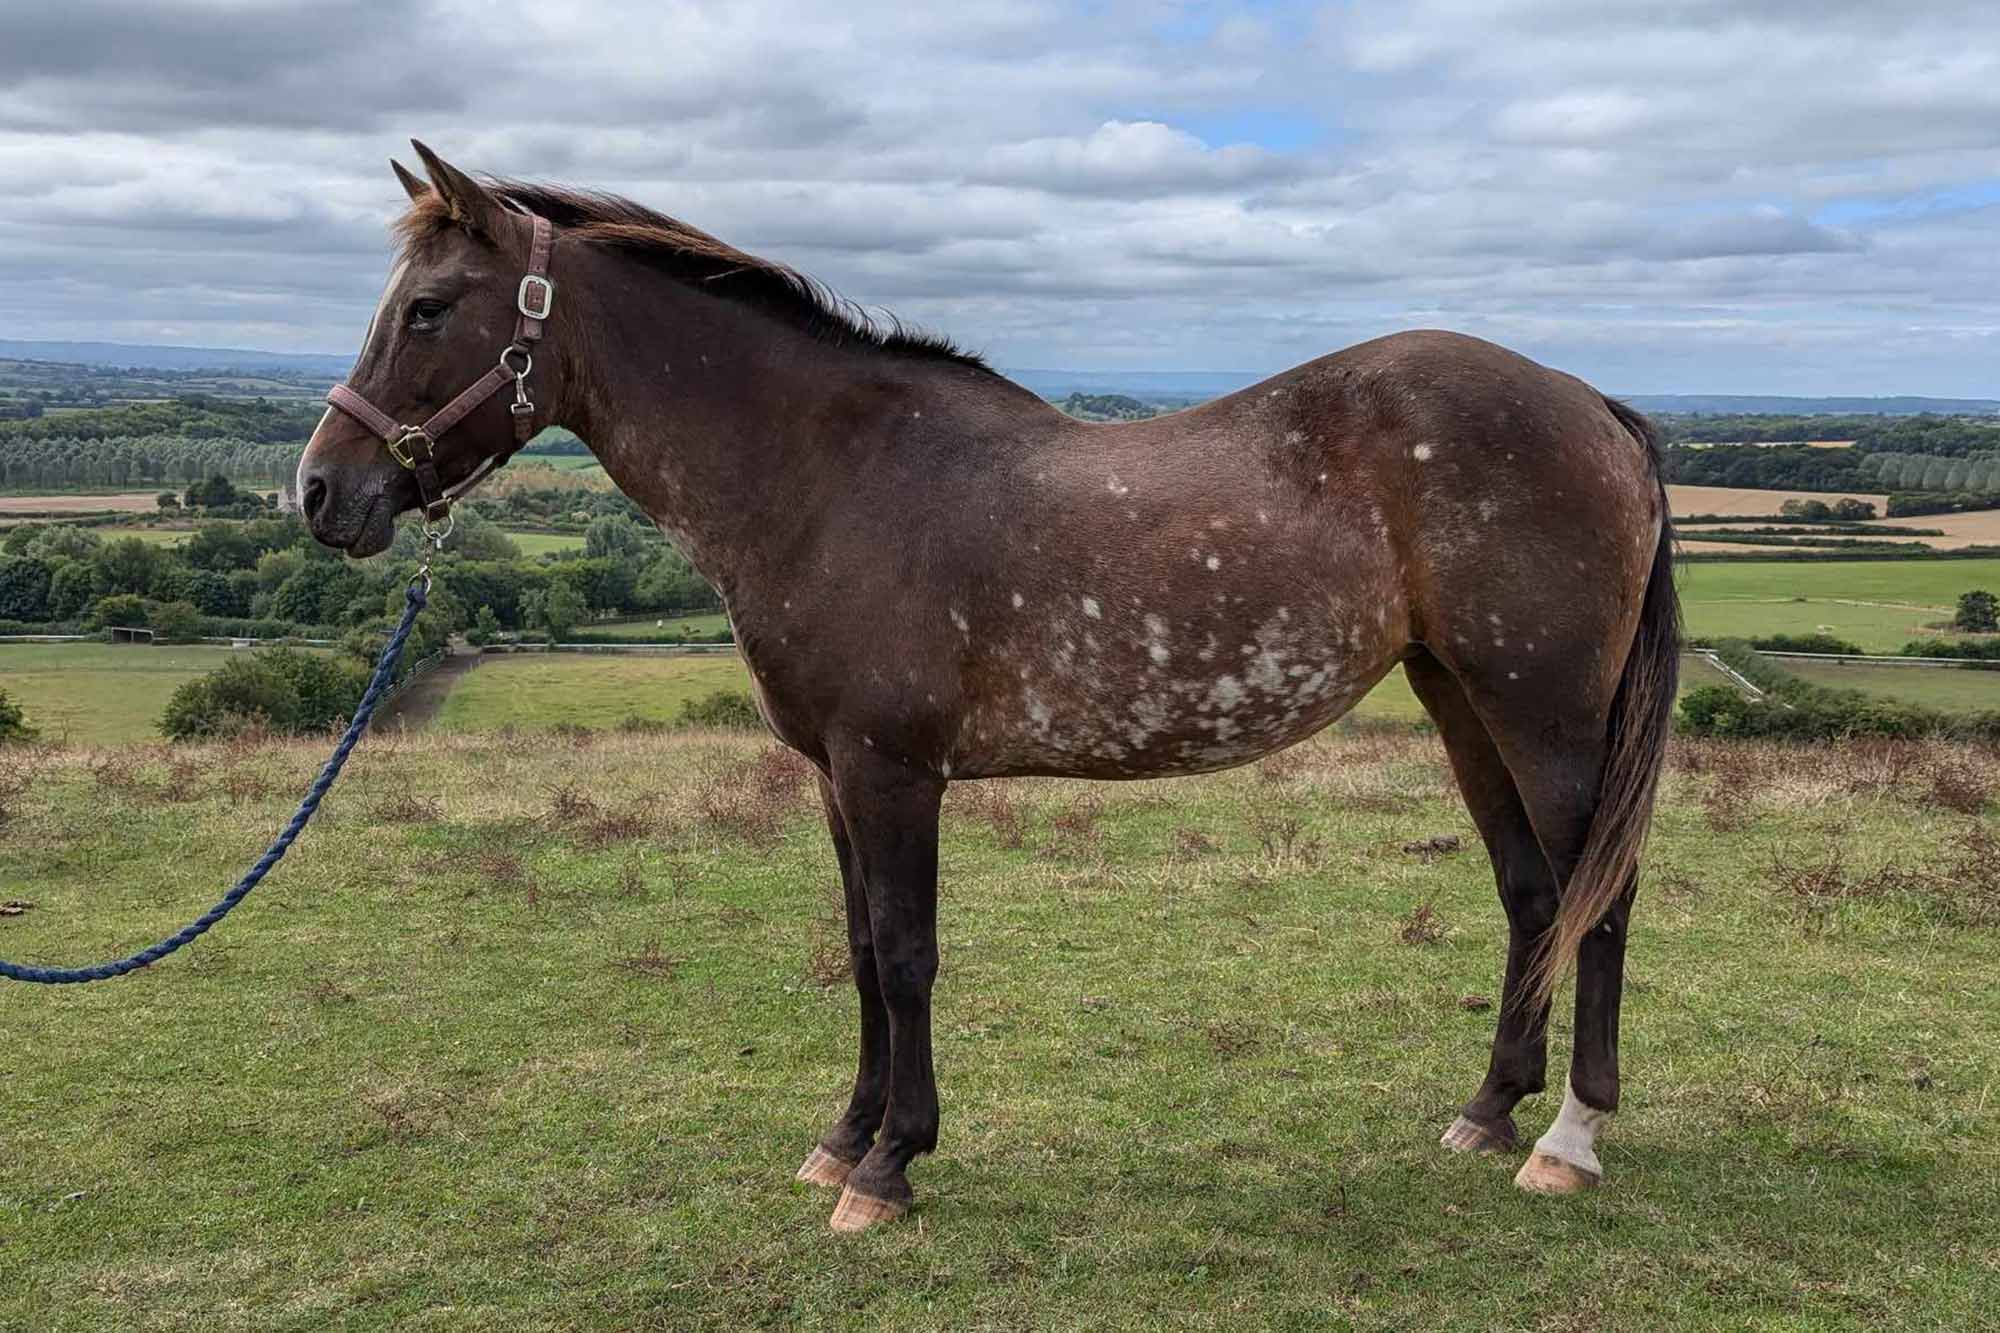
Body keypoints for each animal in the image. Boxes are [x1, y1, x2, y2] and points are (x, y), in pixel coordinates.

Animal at [296, 140, 1672, 1232]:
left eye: (429, 309)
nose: (320, 492)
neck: (829, 478)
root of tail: (1591, 405)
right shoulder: (836, 778)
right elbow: (859, 950)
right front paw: (841, 1140)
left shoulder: (892, 771)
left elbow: (907, 954)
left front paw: (890, 1167)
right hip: (1458, 699)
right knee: (1531, 892)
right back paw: (1486, 1110)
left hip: (1542, 711)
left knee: (1596, 896)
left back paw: (1567, 1140)